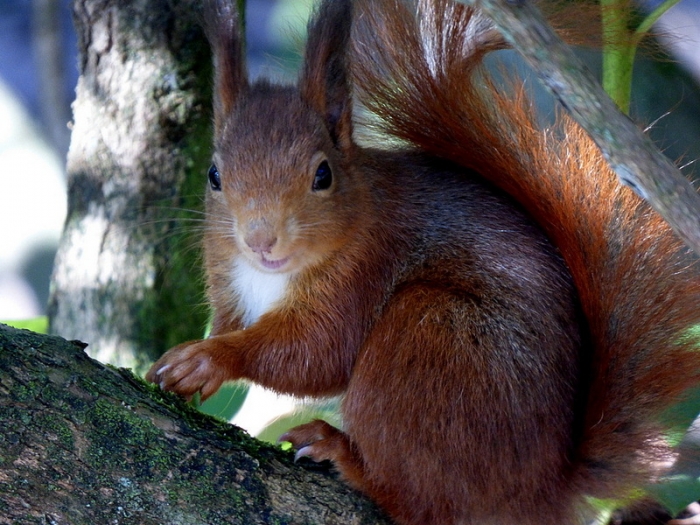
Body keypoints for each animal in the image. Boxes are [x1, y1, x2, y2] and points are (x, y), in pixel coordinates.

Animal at [146, 0, 700, 523]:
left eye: (323, 174)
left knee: (423, 505)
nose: (261, 240)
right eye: (214, 175)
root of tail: (542, 489)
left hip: (431, 340)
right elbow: (243, 328)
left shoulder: (365, 268)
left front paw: (210, 358)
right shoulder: (227, 281)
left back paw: (344, 455)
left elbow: (314, 352)